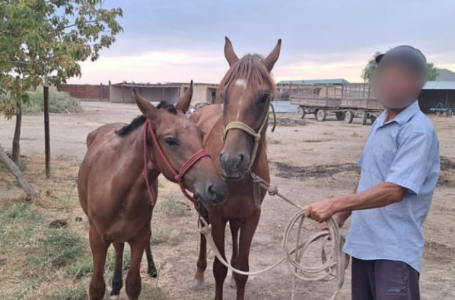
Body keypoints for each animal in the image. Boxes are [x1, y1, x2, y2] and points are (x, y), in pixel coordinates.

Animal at [79, 84, 230, 300]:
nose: (217, 189)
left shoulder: (139, 236)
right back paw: (115, 283)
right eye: (170, 140)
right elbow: (96, 287)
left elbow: (133, 284)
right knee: (118, 245)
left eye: (201, 134)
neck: (115, 187)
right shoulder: (97, 239)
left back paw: (146, 270)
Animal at [189, 38, 282, 298]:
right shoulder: (217, 214)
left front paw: (235, 276)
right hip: (202, 203)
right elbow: (218, 268)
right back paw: (198, 274)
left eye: (264, 96)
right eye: (224, 95)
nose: (231, 161)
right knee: (202, 230)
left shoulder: (252, 216)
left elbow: (242, 269)